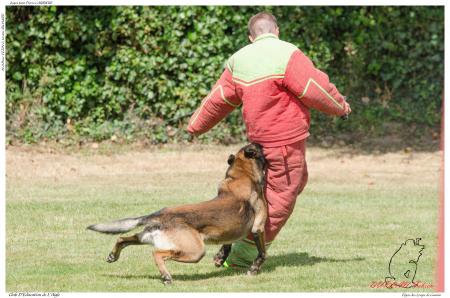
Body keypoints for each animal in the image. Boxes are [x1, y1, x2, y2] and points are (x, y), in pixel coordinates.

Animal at [88, 143, 268, 286]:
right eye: (258, 148)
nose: (261, 144)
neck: (242, 175)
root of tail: (160, 214)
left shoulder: (230, 232)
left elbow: (227, 244)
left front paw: (220, 258)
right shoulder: (258, 228)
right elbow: (262, 252)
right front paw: (254, 269)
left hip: (147, 237)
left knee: (122, 238)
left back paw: (113, 255)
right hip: (195, 251)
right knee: (156, 253)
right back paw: (166, 277)